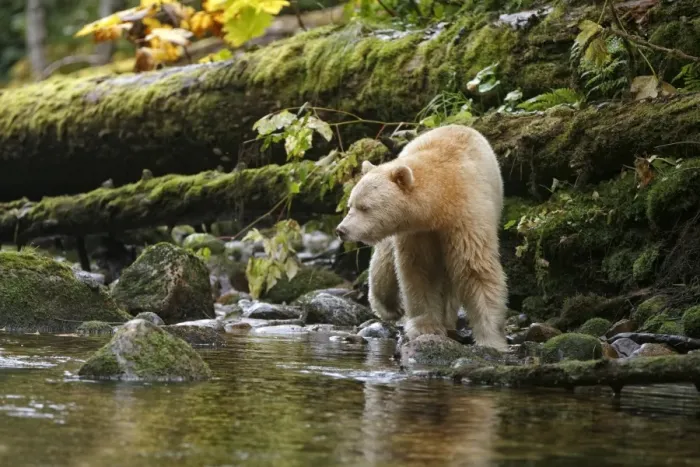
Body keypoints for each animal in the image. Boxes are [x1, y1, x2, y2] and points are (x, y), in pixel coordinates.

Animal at [335, 124, 508, 350]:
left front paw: (491, 339)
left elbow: (475, 268)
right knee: (385, 261)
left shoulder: (467, 216)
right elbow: (420, 269)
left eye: (364, 207)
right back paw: (389, 306)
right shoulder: (417, 231)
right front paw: (426, 327)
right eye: (350, 205)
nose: (341, 230)